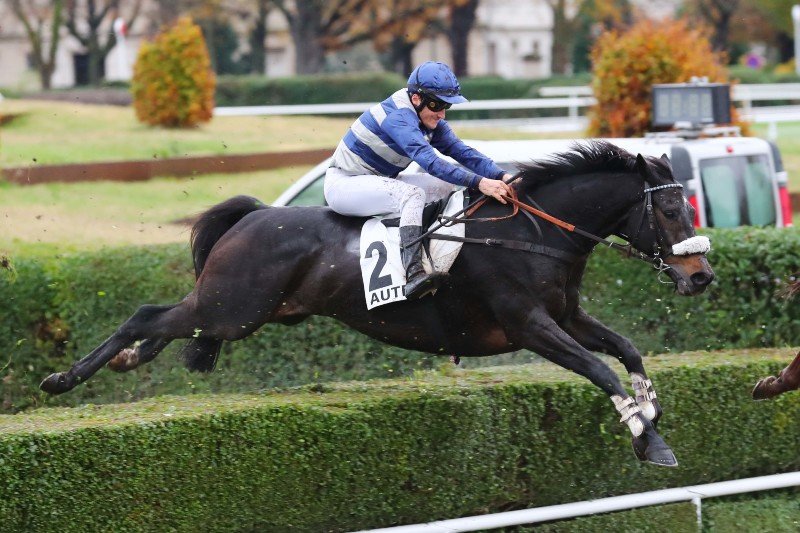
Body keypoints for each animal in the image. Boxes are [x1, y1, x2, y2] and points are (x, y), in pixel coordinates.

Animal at [41, 140, 714, 467]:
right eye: (670, 208)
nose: (702, 275)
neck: (531, 233)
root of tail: (254, 215)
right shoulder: (529, 325)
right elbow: (601, 369)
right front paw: (647, 438)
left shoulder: (568, 316)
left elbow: (627, 351)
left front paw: (652, 419)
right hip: (233, 307)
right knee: (147, 316)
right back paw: (62, 379)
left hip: (240, 312)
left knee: (168, 327)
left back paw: (127, 360)